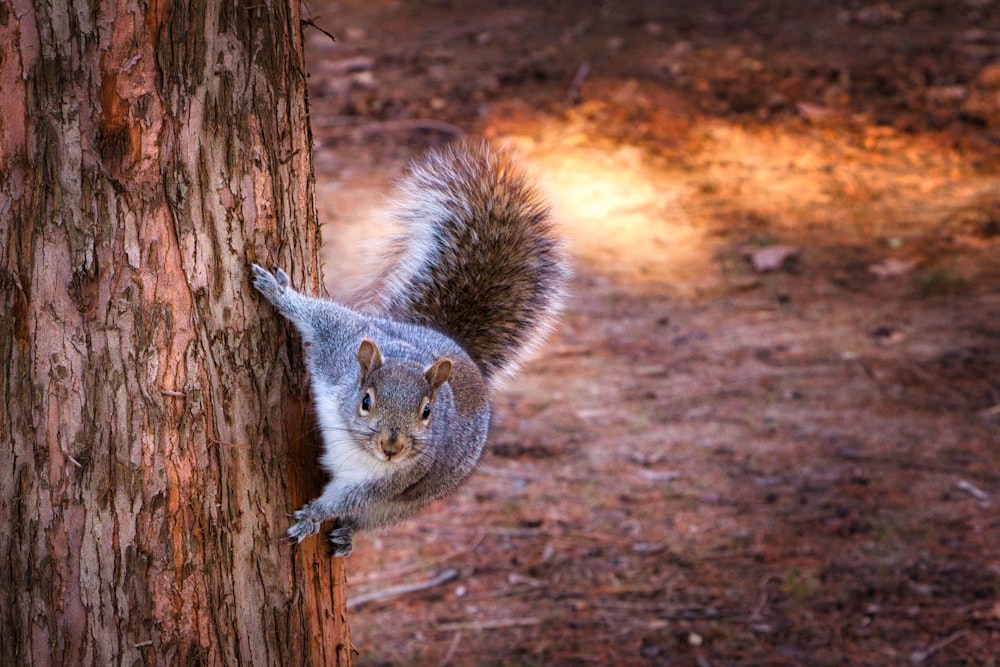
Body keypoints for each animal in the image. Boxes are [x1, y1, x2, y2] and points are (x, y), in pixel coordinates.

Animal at [250, 141, 572, 560]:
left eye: (427, 412)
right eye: (365, 401)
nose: (392, 447)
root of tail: (457, 349)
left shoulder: (392, 480)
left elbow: (346, 499)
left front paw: (313, 516)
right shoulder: (341, 346)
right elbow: (320, 316)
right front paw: (279, 293)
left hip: (411, 499)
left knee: (373, 517)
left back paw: (347, 534)